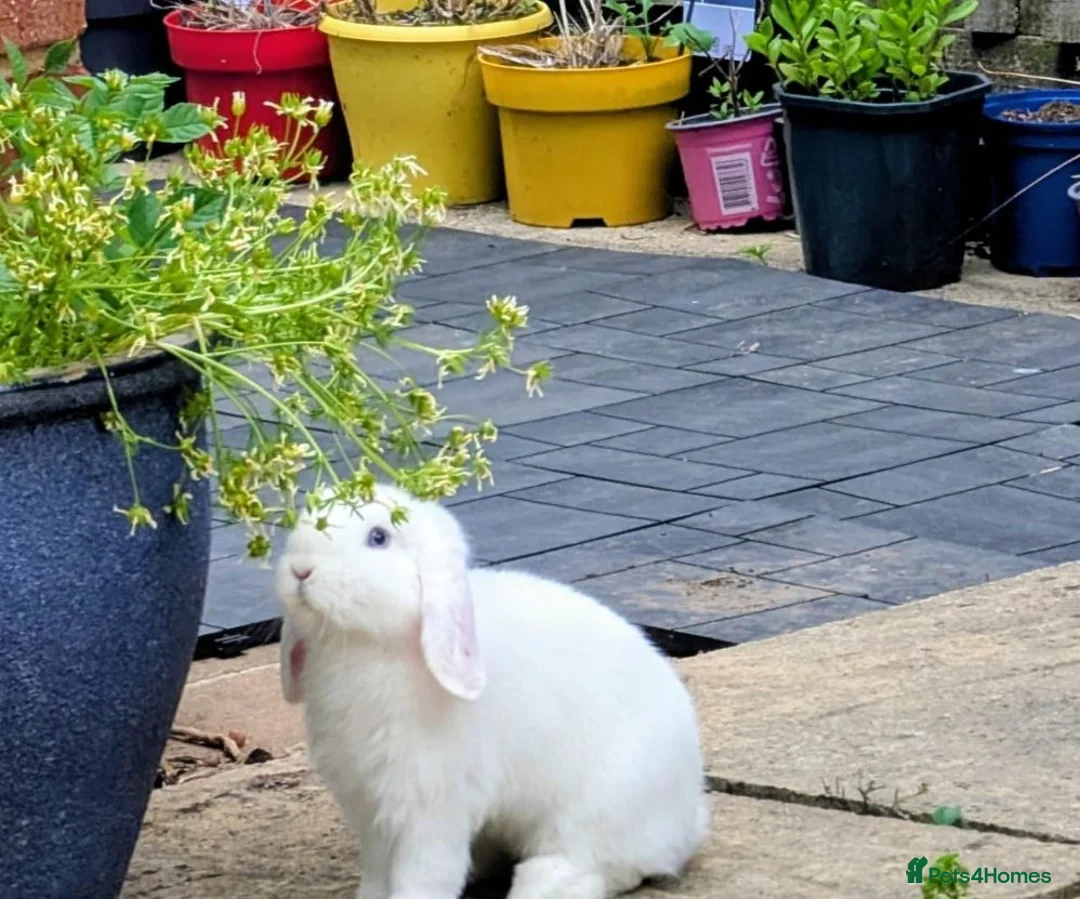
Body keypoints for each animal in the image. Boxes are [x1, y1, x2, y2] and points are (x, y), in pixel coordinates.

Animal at [276, 483, 709, 899]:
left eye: (379, 537)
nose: (300, 570)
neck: (367, 648)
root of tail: (690, 818)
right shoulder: (370, 809)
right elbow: (378, 872)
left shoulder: (431, 804)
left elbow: (424, 872)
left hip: (599, 807)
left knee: (605, 864)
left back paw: (541, 885)